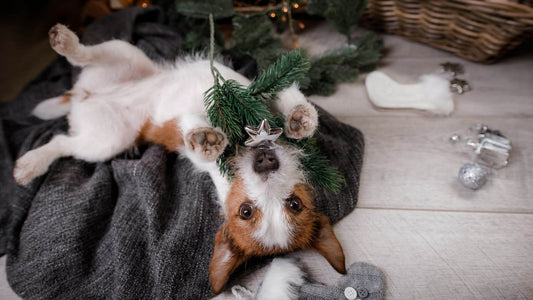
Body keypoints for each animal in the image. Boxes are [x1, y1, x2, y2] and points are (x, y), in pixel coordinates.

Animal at [13, 24, 344, 294]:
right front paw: (299, 119)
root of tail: (84, 97)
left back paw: (30, 164)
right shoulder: (254, 94)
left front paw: (207, 141)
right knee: (88, 54)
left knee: (62, 141)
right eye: (246, 211)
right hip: (126, 55)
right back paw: (64, 41)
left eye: (294, 204)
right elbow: (286, 96)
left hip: (106, 140)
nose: (265, 162)